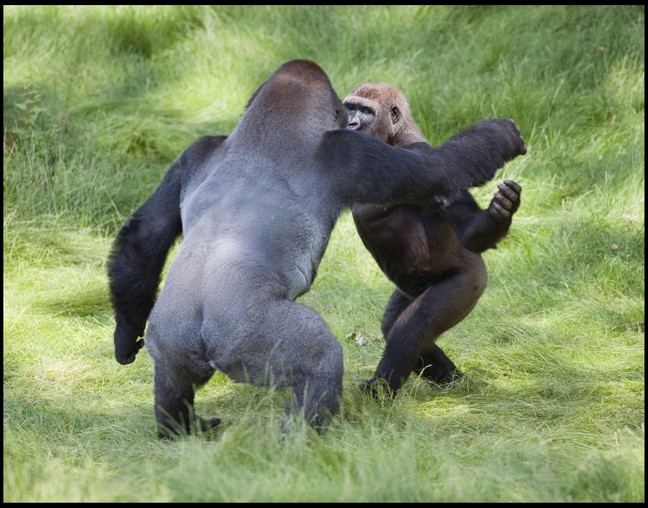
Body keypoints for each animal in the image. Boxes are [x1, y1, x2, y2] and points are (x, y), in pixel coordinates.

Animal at [344, 83, 520, 398]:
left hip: (471, 281)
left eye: (365, 111)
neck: (394, 137)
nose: (350, 124)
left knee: (412, 328)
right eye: (349, 107)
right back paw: (454, 381)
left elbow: (455, 199)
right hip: (410, 289)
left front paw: (500, 214)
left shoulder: (416, 152)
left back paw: (380, 393)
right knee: (396, 326)